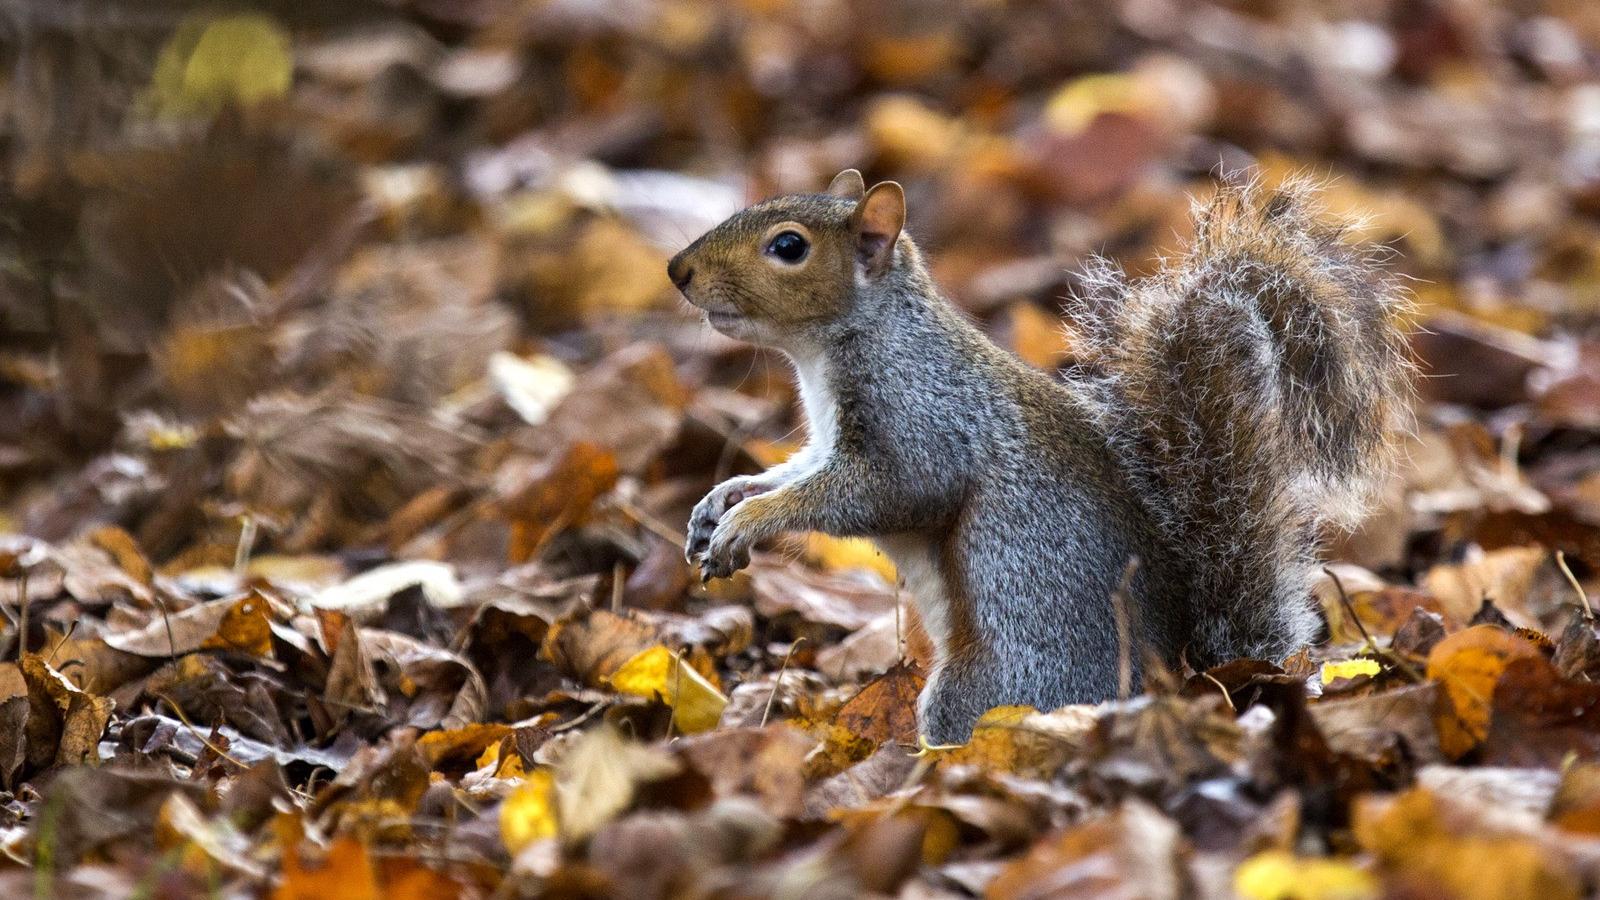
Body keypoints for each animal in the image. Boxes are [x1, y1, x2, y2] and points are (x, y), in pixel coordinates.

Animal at [662, 168, 1414, 743]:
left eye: (789, 246)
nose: (677, 270)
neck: (838, 347)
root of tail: (1186, 679)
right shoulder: (825, 442)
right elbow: (796, 473)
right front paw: (725, 499)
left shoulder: (924, 420)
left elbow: (890, 490)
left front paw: (749, 522)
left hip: (994, 683)